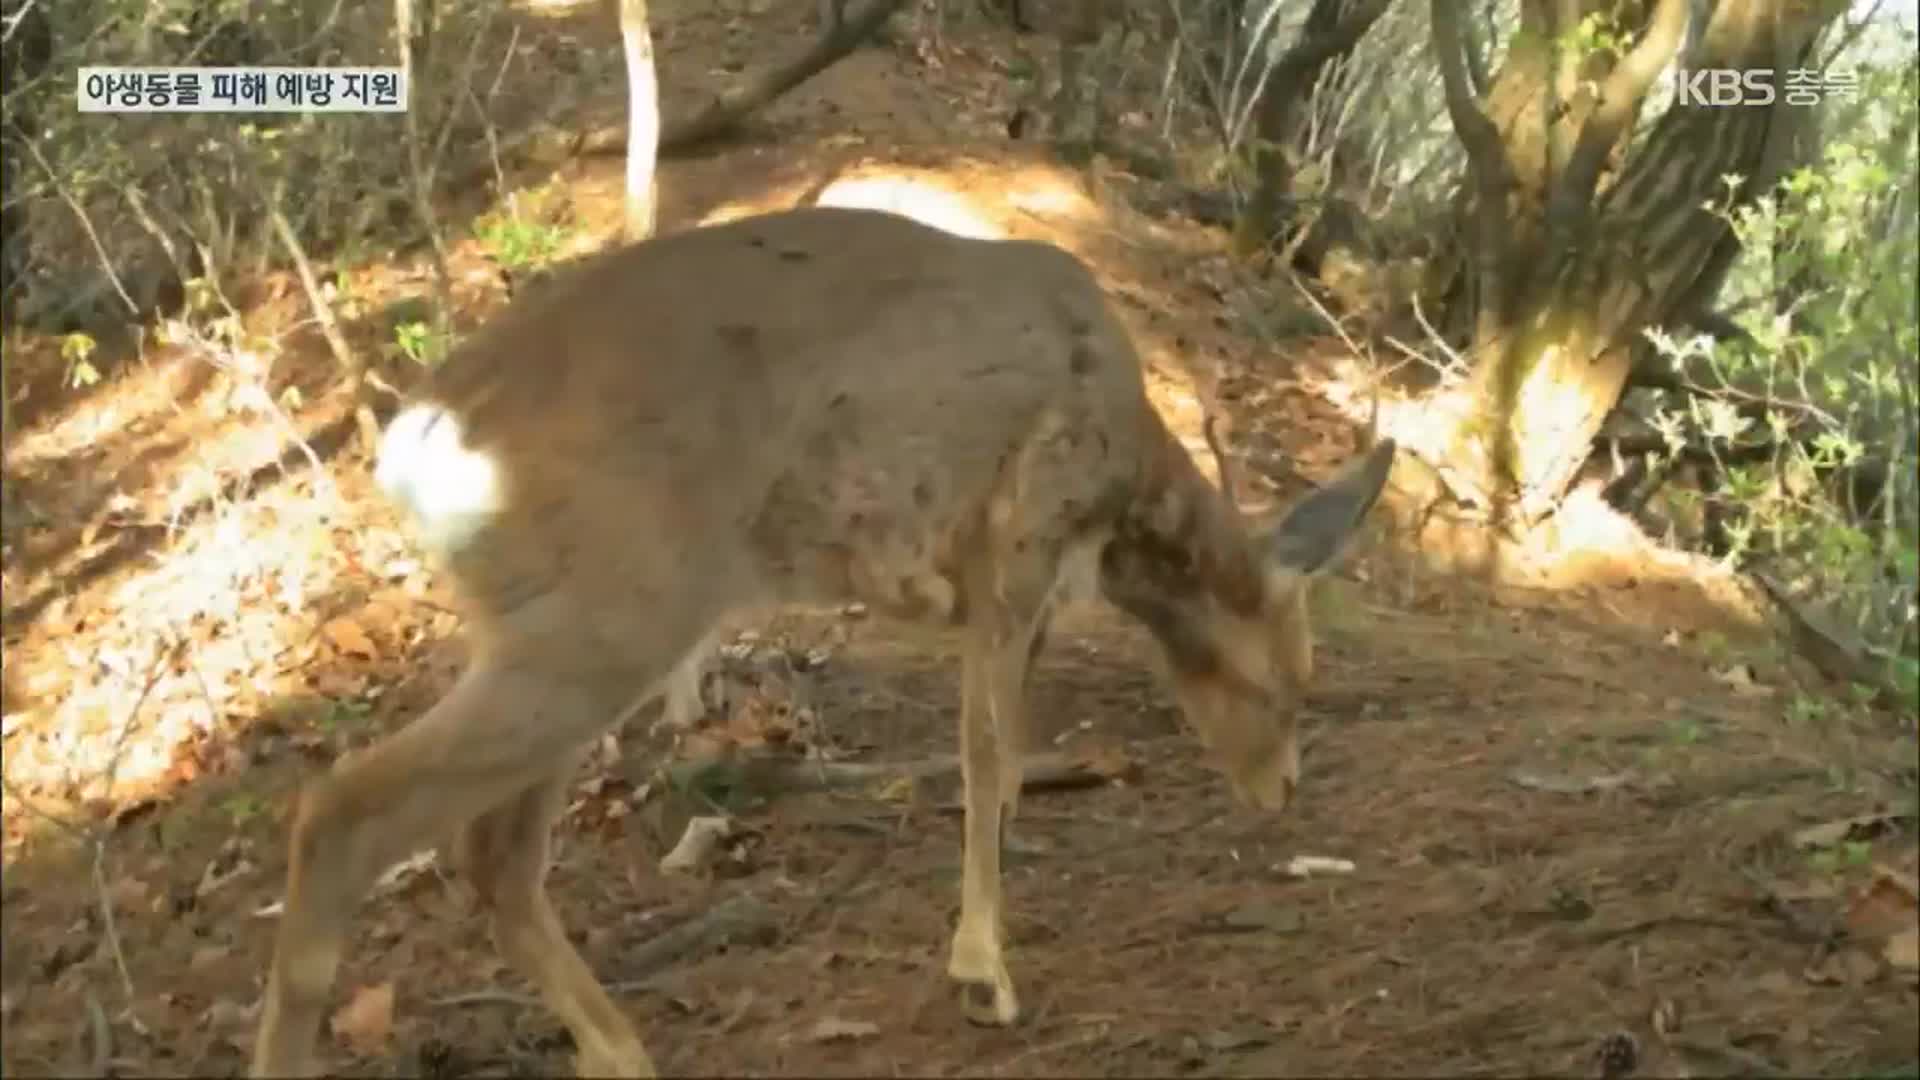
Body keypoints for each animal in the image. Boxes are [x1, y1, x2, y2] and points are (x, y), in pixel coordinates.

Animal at [251, 201, 1397, 1068]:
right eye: (1290, 682)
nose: (1283, 788)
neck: (1122, 509)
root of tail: (415, 441)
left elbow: (1006, 764)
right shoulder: (1015, 544)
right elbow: (988, 755)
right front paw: (983, 971)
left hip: (552, 622)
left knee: (492, 853)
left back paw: (622, 1051)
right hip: (613, 608)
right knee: (348, 813)